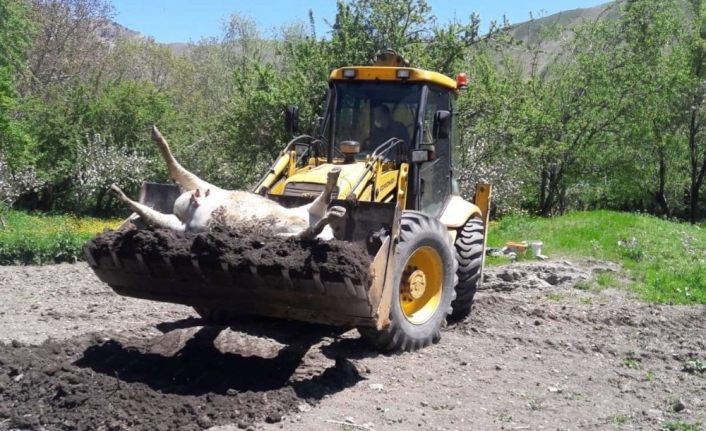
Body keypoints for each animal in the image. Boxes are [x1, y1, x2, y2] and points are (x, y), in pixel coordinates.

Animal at [108, 125, 346, 240]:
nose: (195, 195)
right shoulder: (181, 223)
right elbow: (149, 211)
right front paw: (118, 192)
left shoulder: (202, 186)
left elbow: (174, 167)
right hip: (288, 230)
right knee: (311, 229)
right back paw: (333, 205)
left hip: (296, 220)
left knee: (313, 223)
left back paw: (333, 184)